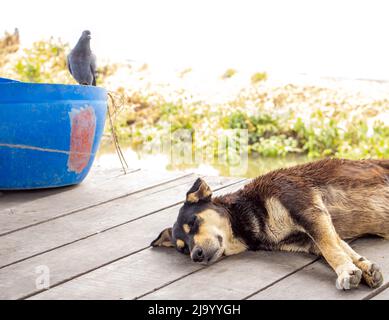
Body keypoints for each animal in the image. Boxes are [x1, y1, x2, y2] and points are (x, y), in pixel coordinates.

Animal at [151, 159, 388, 292]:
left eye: (193, 222)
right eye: (183, 249)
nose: (196, 255)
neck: (249, 210)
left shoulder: (310, 211)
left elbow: (331, 250)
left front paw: (346, 272)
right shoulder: (312, 234)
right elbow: (339, 247)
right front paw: (363, 268)